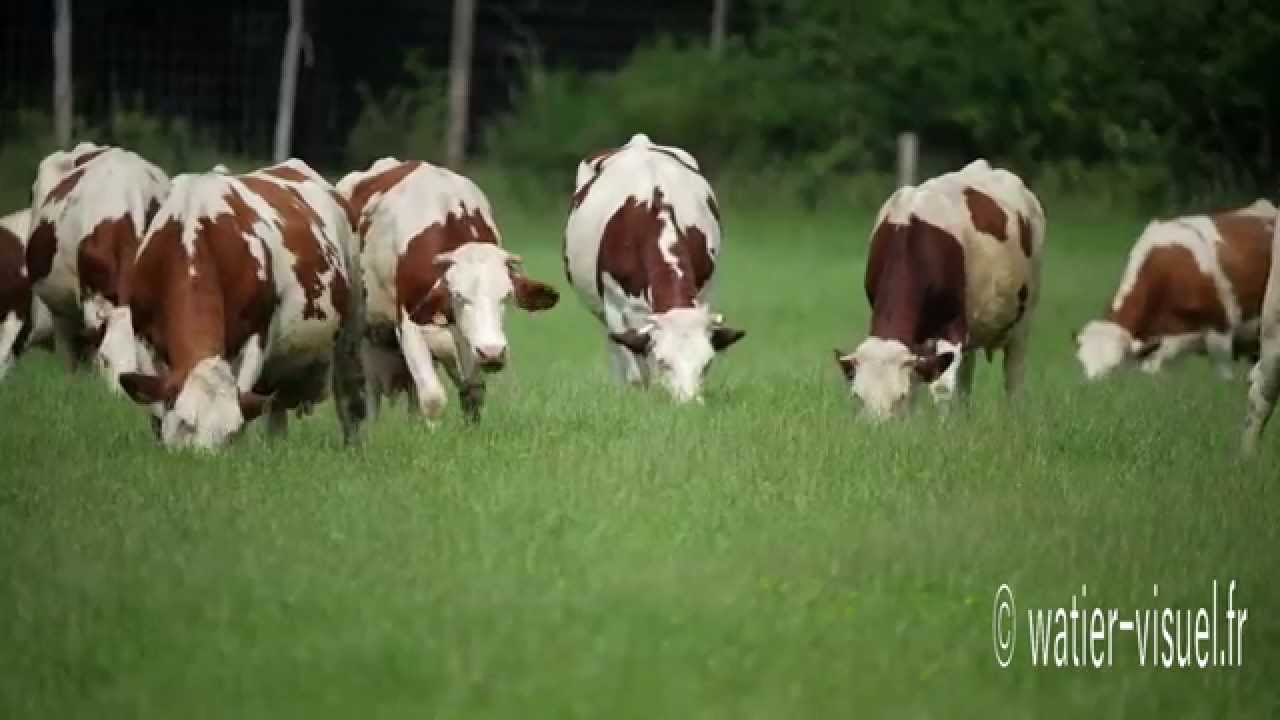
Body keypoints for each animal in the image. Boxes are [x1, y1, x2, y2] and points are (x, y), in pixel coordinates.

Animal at [95, 159, 367, 450]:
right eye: (185, 424)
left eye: (230, 435)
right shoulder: (142, 336)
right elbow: (157, 408)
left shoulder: (256, 335)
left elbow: (244, 398)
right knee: (276, 410)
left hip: (350, 332)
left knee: (348, 402)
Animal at [335, 158, 559, 423]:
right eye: (459, 296)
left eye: (506, 297)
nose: (492, 352)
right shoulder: (409, 325)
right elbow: (432, 398)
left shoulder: (468, 341)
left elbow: (473, 392)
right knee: (370, 391)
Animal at [563, 133, 745, 403]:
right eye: (663, 361)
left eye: (707, 364)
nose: (688, 403)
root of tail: (640, 140)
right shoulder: (615, 307)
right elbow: (636, 374)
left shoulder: (703, 296)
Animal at [834, 159, 1045, 421]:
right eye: (858, 396)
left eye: (899, 397)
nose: (877, 427)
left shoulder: (952, 323)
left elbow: (942, 386)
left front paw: (943, 426)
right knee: (966, 372)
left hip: (1023, 320)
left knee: (1014, 374)